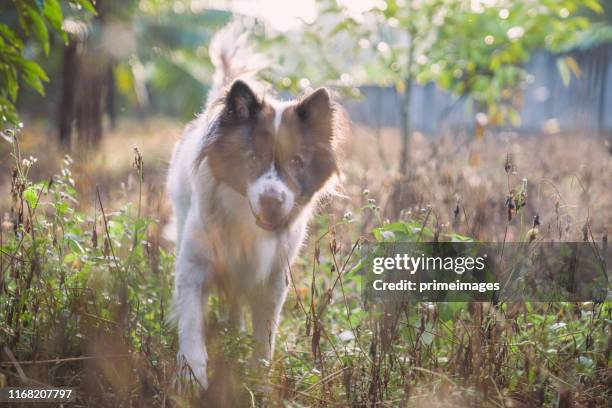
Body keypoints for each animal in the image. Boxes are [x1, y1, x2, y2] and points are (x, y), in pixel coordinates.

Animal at [165, 23, 346, 388]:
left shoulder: (274, 278)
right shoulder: (194, 265)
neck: (246, 227)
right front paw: (191, 377)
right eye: (251, 158)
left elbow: (265, 336)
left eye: (297, 162)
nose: (272, 203)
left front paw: (258, 379)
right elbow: (191, 322)